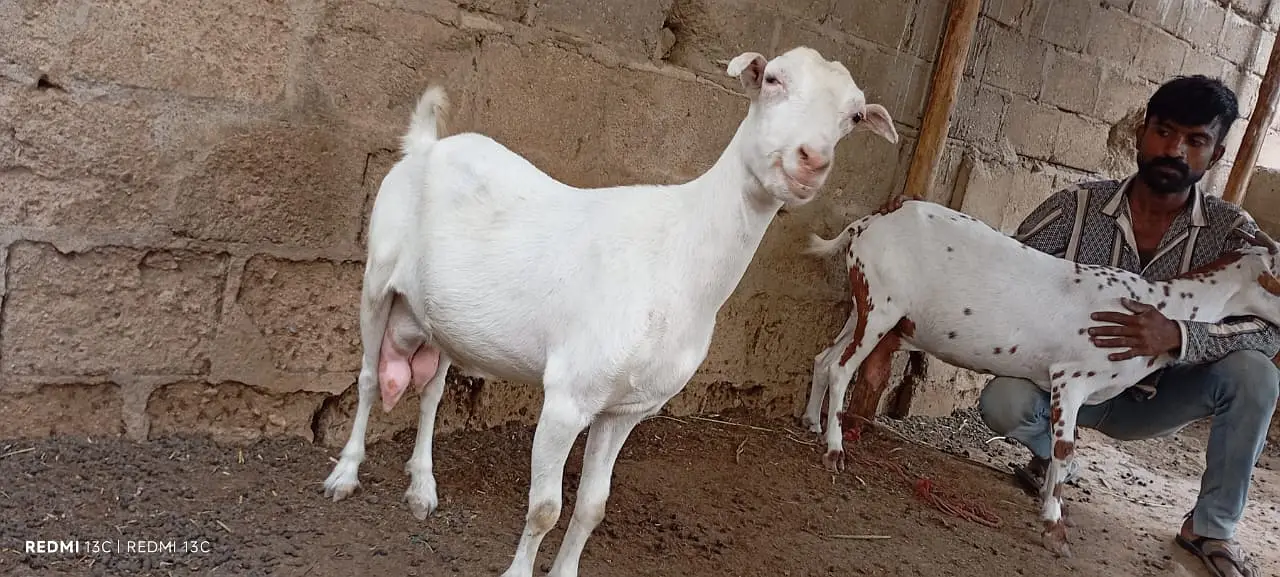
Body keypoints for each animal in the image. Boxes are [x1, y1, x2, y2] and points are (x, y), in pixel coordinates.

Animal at [320, 46, 899, 577]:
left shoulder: (627, 409)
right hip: (377, 280)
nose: (812, 160)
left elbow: (592, 508)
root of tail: (426, 145)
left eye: (853, 117)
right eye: (773, 79)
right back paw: (345, 475)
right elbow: (545, 508)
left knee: (432, 393)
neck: (677, 255)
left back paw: (422, 487)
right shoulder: (567, 397)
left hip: (443, 323)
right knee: (368, 377)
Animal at [800, 198, 1280, 558]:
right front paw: (1054, 527)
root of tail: (867, 224)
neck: (1155, 305)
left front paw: (1047, 502)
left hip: (864, 304)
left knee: (824, 358)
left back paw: (809, 422)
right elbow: (1065, 452)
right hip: (881, 305)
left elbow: (1061, 451)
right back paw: (834, 449)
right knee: (841, 367)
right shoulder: (1071, 378)